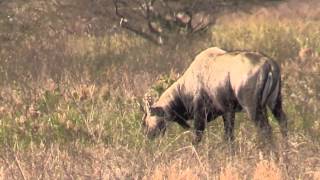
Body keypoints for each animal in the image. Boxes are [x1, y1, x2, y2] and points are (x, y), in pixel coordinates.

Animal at [141, 47, 286, 144]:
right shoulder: (227, 112)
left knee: (265, 130)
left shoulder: (200, 114)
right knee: (283, 122)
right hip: (274, 104)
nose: (148, 137)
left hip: (253, 109)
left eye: (147, 119)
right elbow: (228, 137)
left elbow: (197, 138)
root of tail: (269, 64)